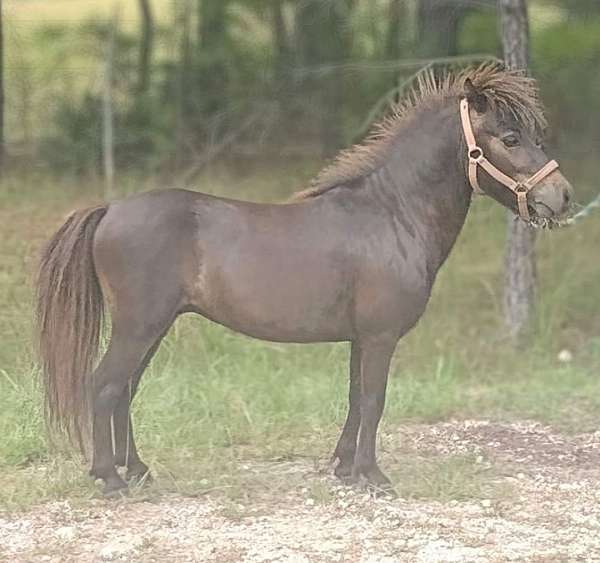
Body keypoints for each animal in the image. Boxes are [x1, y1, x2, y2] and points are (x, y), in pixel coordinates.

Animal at [36, 66, 572, 496]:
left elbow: (356, 399)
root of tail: (110, 209)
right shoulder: (380, 337)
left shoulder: (361, 338)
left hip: (154, 327)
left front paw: (345, 469)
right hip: (139, 326)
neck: (391, 215)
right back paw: (110, 478)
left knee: (125, 388)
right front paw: (373, 476)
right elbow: (374, 400)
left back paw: (138, 470)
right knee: (105, 384)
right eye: (510, 137)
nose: (562, 196)